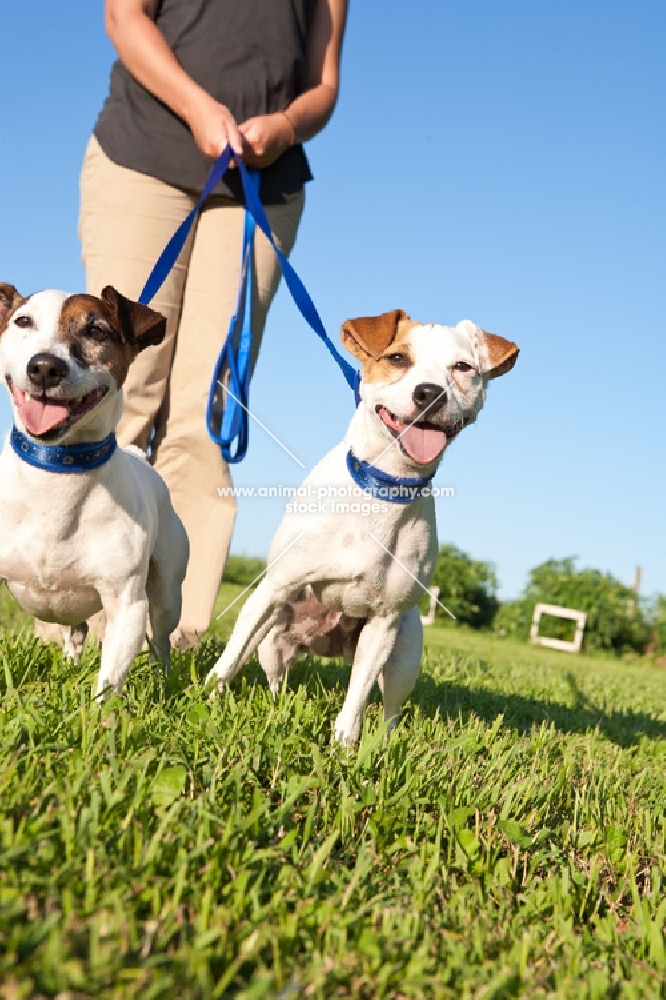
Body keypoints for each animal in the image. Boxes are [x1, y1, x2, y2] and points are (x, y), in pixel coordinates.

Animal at [0, 284, 189, 696]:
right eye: (23, 321)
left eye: (97, 330)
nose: (44, 367)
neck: (57, 470)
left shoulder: (127, 605)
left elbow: (109, 683)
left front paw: (104, 712)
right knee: (76, 629)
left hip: (168, 593)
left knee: (161, 639)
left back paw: (161, 681)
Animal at [205, 310, 516, 744]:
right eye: (398, 358)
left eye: (463, 367)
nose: (430, 393)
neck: (383, 489)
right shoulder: (273, 590)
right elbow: (229, 660)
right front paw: (202, 701)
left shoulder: (383, 623)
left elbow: (356, 698)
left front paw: (345, 745)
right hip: (273, 638)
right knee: (273, 678)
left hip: (404, 652)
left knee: (388, 708)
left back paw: (383, 743)